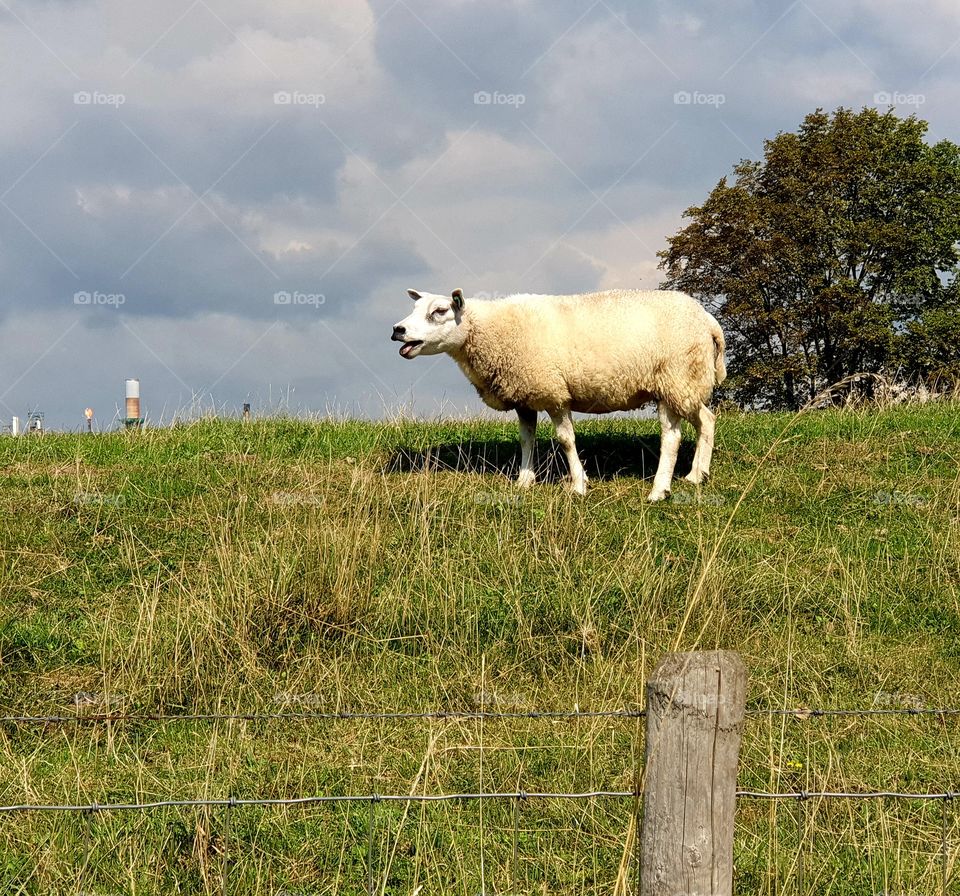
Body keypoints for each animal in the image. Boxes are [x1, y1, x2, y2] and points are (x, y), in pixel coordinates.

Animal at [391, 288, 726, 501]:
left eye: (439, 311)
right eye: (415, 309)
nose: (397, 330)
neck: (490, 331)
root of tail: (708, 319)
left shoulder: (554, 392)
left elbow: (566, 440)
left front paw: (578, 485)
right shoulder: (524, 395)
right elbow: (526, 439)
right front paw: (524, 481)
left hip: (674, 377)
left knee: (672, 437)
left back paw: (659, 491)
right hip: (689, 382)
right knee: (707, 420)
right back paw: (697, 475)